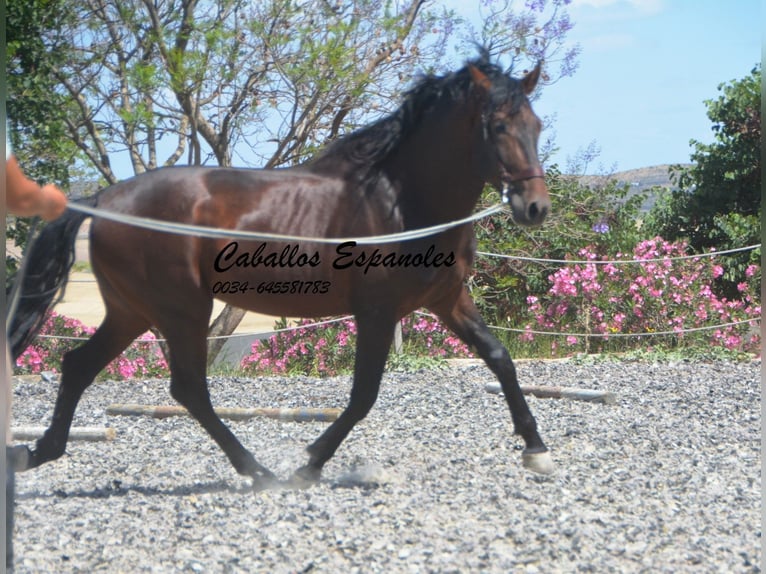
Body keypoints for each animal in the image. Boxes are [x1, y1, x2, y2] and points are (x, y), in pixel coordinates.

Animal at [9, 53, 556, 490]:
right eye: (498, 127)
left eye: (537, 126)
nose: (535, 208)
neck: (401, 200)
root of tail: (104, 199)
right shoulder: (376, 312)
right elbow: (363, 395)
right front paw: (310, 463)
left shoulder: (447, 300)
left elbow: (500, 358)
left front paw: (536, 449)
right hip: (180, 308)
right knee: (187, 388)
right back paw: (258, 471)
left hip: (133, 311)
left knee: (80, 366)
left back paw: (35, 452)